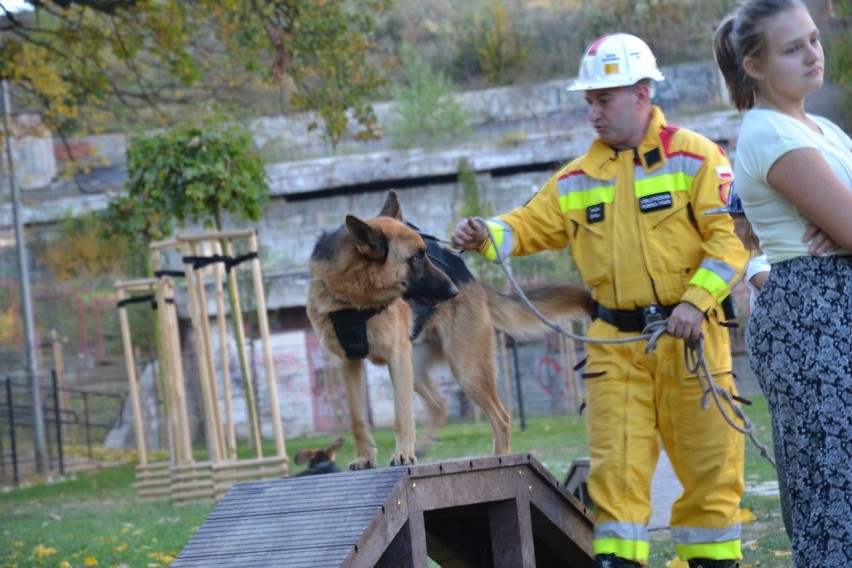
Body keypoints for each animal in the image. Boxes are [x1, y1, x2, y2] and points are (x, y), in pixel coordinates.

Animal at [308, 191, 592, 470]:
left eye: (425, 253)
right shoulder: (349, 363)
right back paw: (424, 445)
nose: (453, 291)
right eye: (415, 258)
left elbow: (402, 416)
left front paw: (402, 454)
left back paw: (498, 460)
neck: (353, 297)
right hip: (416, 369)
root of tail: (468, 277)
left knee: (501, 418)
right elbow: (357, 419)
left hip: (465, 369)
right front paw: (366, 457)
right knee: (440, 406)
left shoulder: (396, 357)